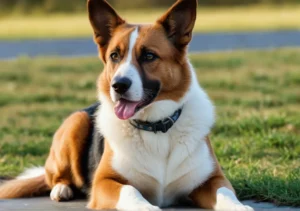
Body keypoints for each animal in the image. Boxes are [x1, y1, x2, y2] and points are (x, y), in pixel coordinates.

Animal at [0, 0, 253, 211]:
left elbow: (226, 195)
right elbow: (131, 191)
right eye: (114, 56)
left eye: (149, 56)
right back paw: (62, 189)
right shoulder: (104, 183)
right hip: (76, 122)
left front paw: (240, 207)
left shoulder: (212, 180)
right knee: (54, 177)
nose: (118, 85)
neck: (155, 127)